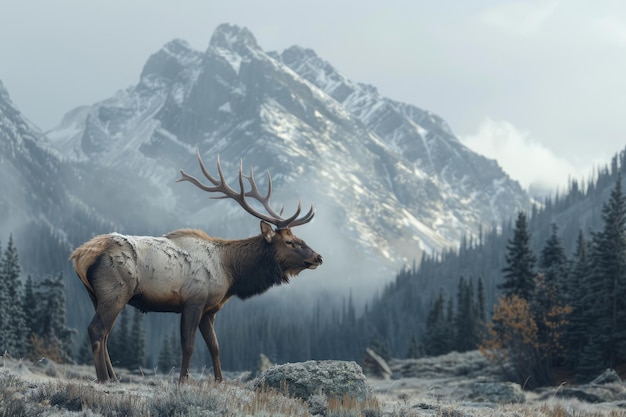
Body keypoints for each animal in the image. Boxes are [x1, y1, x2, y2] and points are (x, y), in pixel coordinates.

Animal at [70, 151, 320, 382]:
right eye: (289, 242)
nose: (318, 257)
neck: (231, 272)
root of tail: (79, 255)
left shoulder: (210, 310)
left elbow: (215, 347)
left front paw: (219, 381)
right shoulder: (194, 301)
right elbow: (188, 345)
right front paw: (183, 381)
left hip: (96, 295)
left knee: (105, 334)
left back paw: (113, 377)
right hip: (116, 290)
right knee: (96, 330)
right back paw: (104, 378)